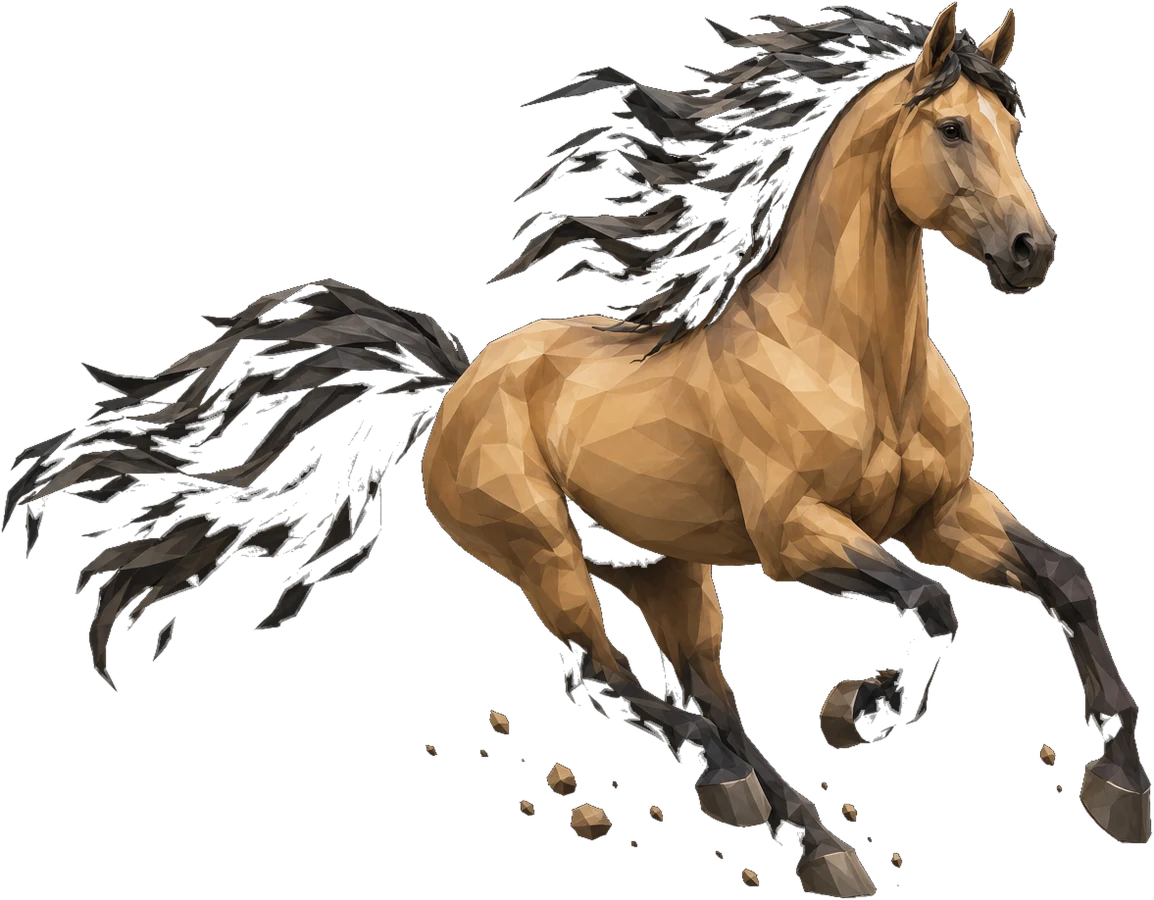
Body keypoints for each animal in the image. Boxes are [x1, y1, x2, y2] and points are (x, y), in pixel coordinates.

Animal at [417, 5, 1148, 895]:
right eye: (951, 127)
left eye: (1012, 128)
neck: (855, 361)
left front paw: (1118, 787)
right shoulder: (795, 532)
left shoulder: (942, 508)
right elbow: (929, 605)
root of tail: (460, 377)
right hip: (542, 550)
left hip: (664, 566)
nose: (1029, 251)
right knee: (604, 674)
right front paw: (859, 710)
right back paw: (741, 791)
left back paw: (806, 839)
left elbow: (1064, 581)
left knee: (710, 696)